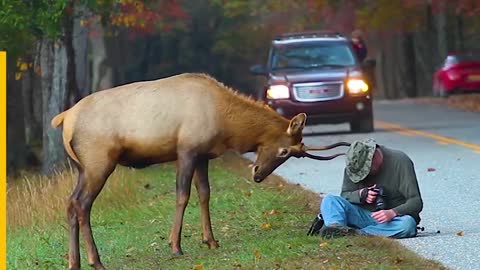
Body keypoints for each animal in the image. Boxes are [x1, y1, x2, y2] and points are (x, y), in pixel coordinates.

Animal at [50, 72, 346, 270]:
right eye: (285, 151)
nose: (258, 175)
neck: (227, 124)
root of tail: (64, 119)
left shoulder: (203, 155)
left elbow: (204, 193)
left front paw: (210, 240)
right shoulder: (186, 150)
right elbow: (182, 195)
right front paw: (175, 246)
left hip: (82, 168)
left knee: (70, 203)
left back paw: (74, 262)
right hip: (99, 162)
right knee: (82, 204)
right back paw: (95, 260)